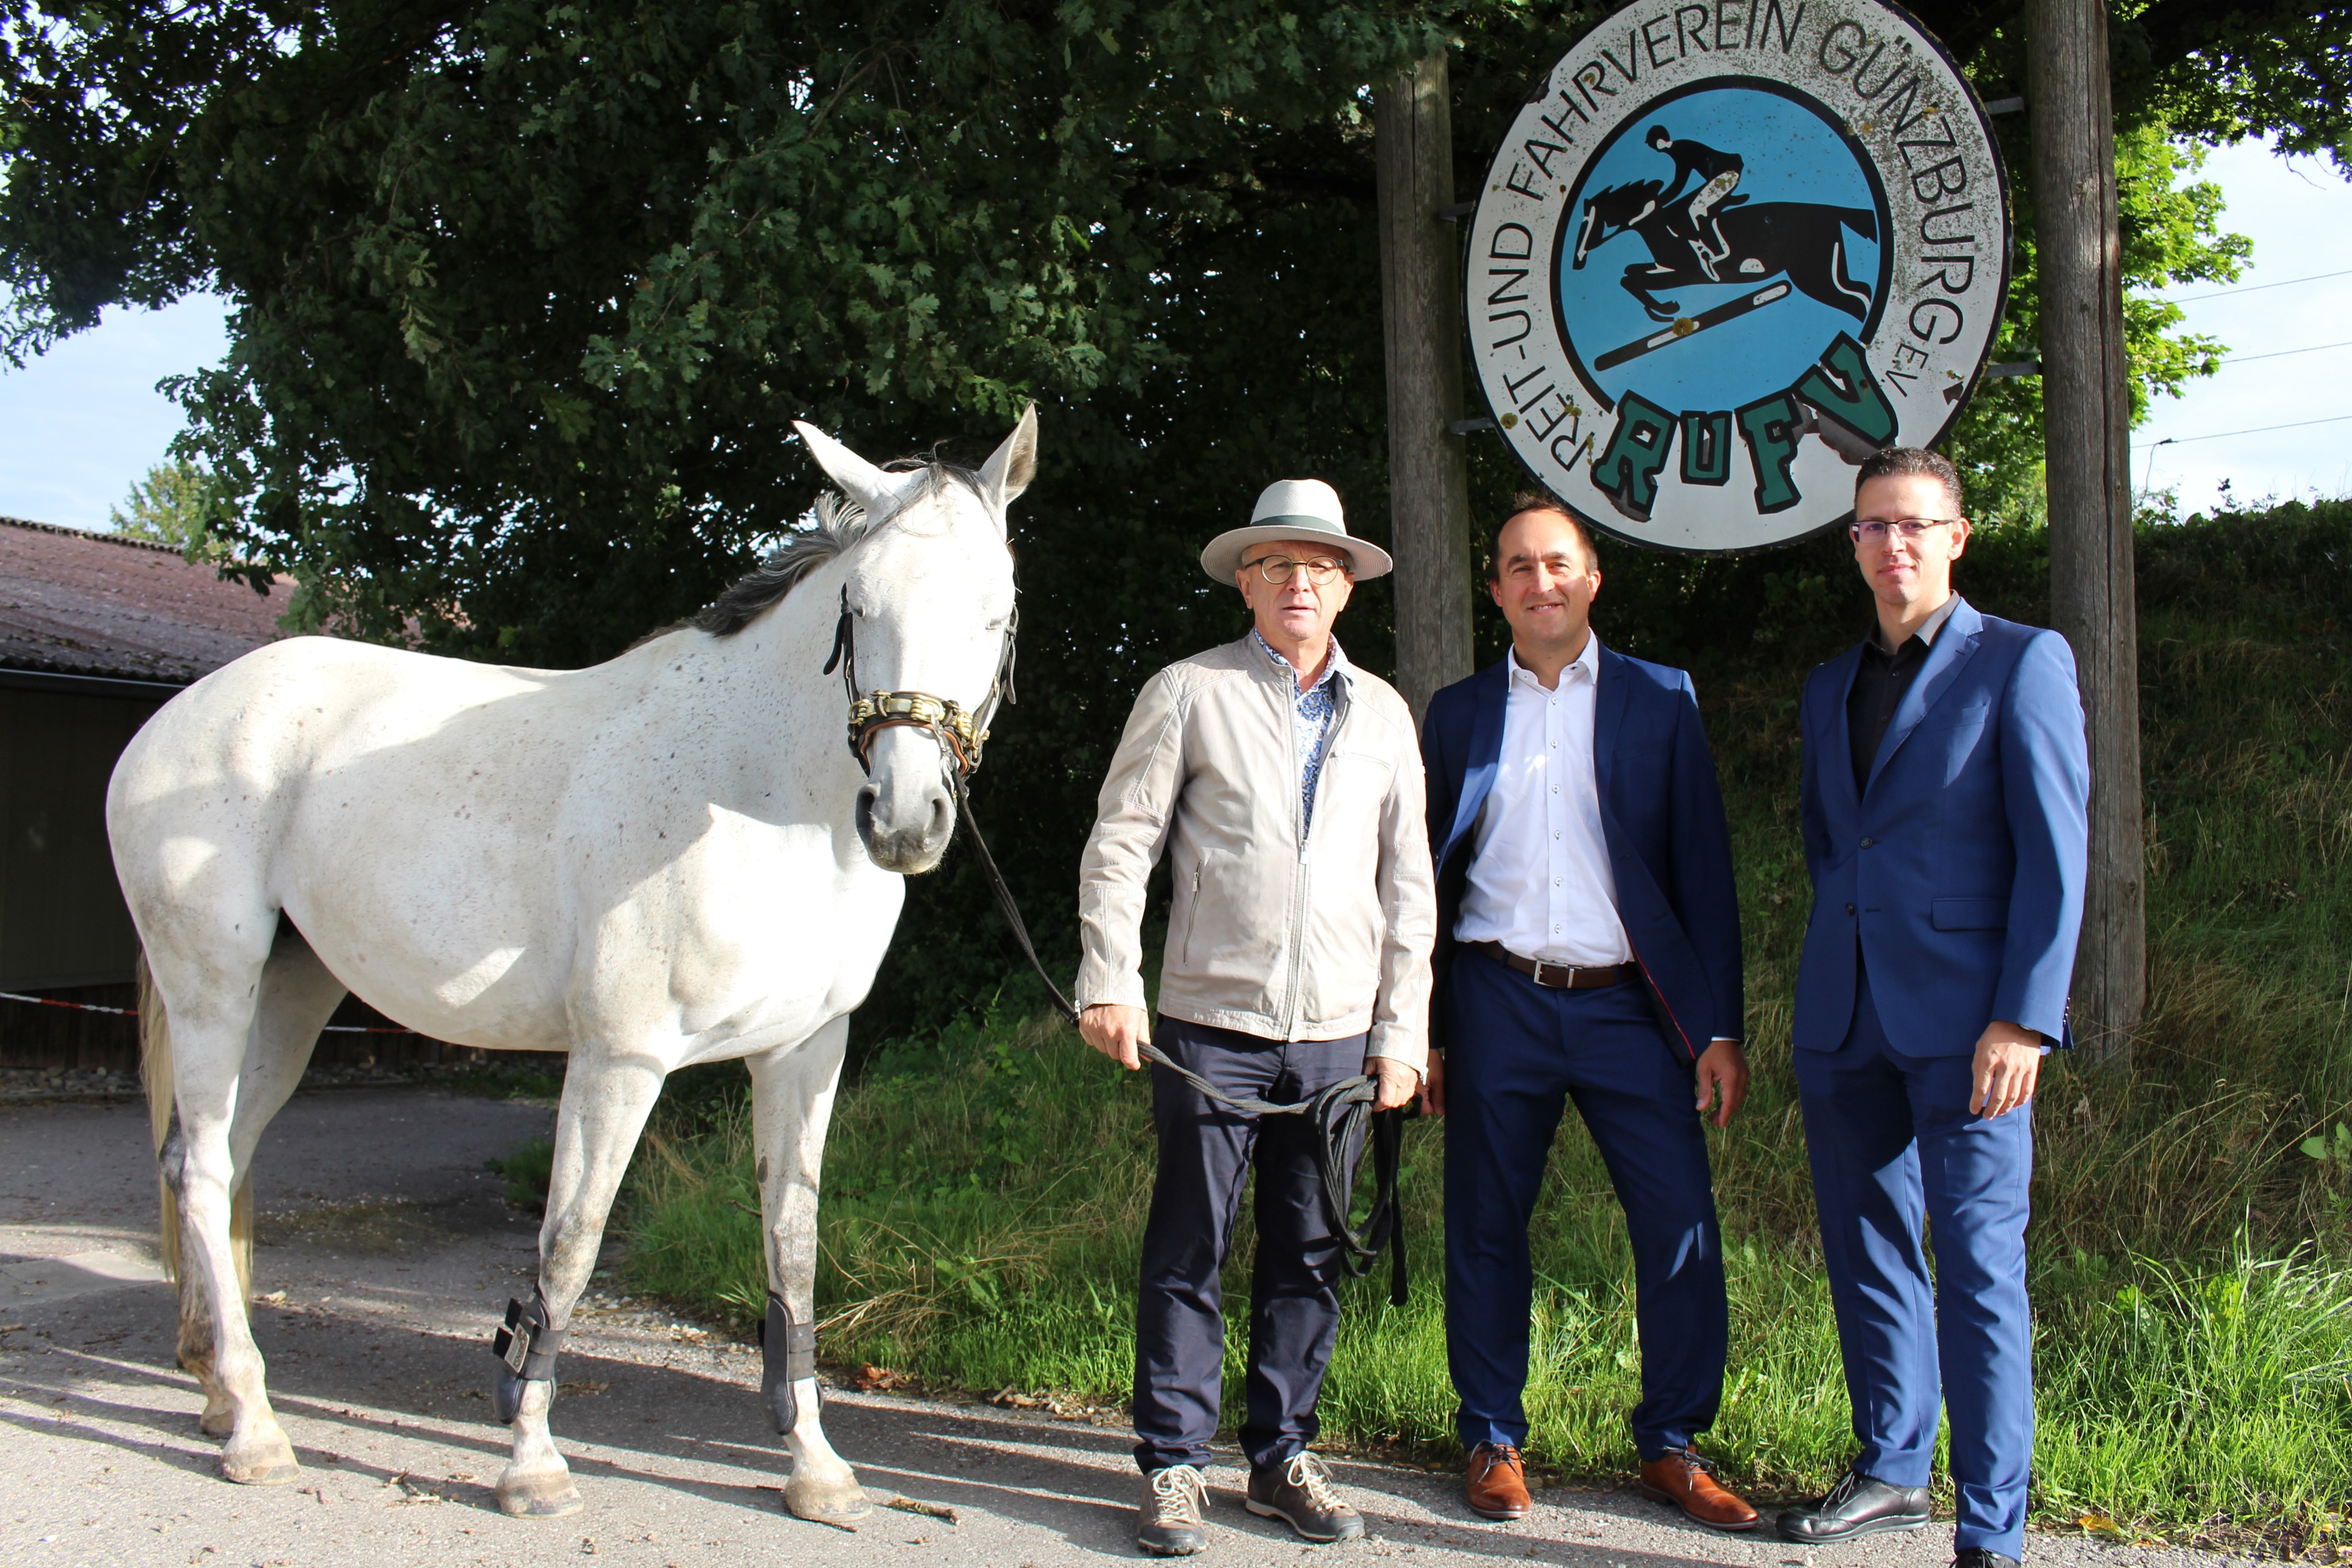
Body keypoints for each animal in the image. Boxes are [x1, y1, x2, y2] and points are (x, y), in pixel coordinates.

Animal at [106, 409, 1035, 1523]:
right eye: (859, 606)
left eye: (998, 614)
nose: (905, 818)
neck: (756, 793)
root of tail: (176, 720)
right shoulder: (618, 1059)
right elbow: (571, 1244)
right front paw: (532, 1465)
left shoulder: (805, 1053)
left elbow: (794, 1251)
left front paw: (816, 1468)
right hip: (213, 983)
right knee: (203, 1168)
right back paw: (254, 1427)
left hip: (289, 995)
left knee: (216, 1158)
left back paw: (214, 1387)